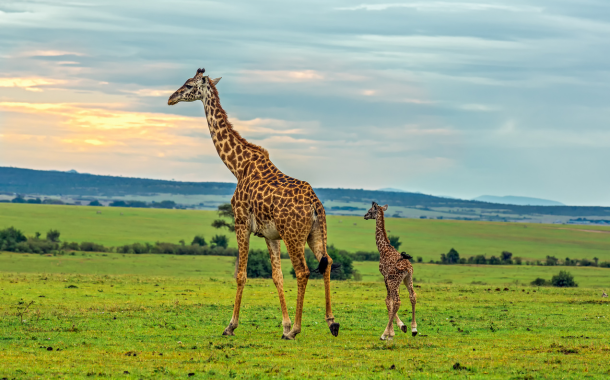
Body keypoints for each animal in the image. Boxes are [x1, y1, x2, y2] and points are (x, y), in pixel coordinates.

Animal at [166, 67, 338, 338]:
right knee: (327, 263)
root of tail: (314, 204)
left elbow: (241, 274)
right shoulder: (270, 235)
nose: (170, 98)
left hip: (293, 235)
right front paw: (284, 324)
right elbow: (277, 276)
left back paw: (297, 330)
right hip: (316, 233)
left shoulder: (241, 223)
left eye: (189, 85)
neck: (237, 166)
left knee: (303, 271)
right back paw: (331, 322)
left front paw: (231, 325)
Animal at [364, 202, 416, 342]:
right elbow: (390, 302)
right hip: (408, 279)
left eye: (370, 211)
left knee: (397, 301)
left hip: (394, 280)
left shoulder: (385, 277)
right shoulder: (391, 280)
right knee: (413, 296)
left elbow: (388, 301)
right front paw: (401, 327)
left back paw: (384, 334)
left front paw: (389, 333)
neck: (383, 248)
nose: (364, 216)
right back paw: (414, 329)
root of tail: (407, 268)